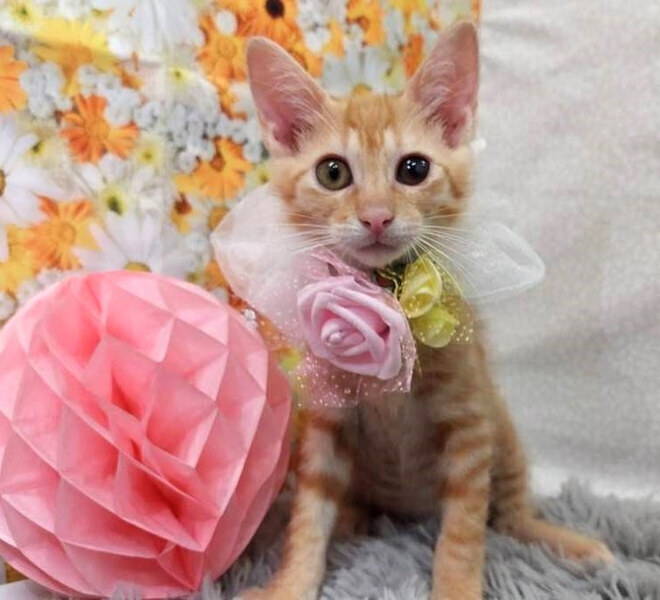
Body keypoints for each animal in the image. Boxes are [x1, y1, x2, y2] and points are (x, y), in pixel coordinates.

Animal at [239, 23, 613, 600]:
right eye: (332, 173)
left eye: (413, 169)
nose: (375, 217)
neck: (388, 295)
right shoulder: (325, 425)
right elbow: (308, 518)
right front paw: (290, 583)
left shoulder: (470, 424)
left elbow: (463, 529)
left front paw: (455, 586)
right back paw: (353, 522)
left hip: (504, 434)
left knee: (509, 517)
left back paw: (569, 542)